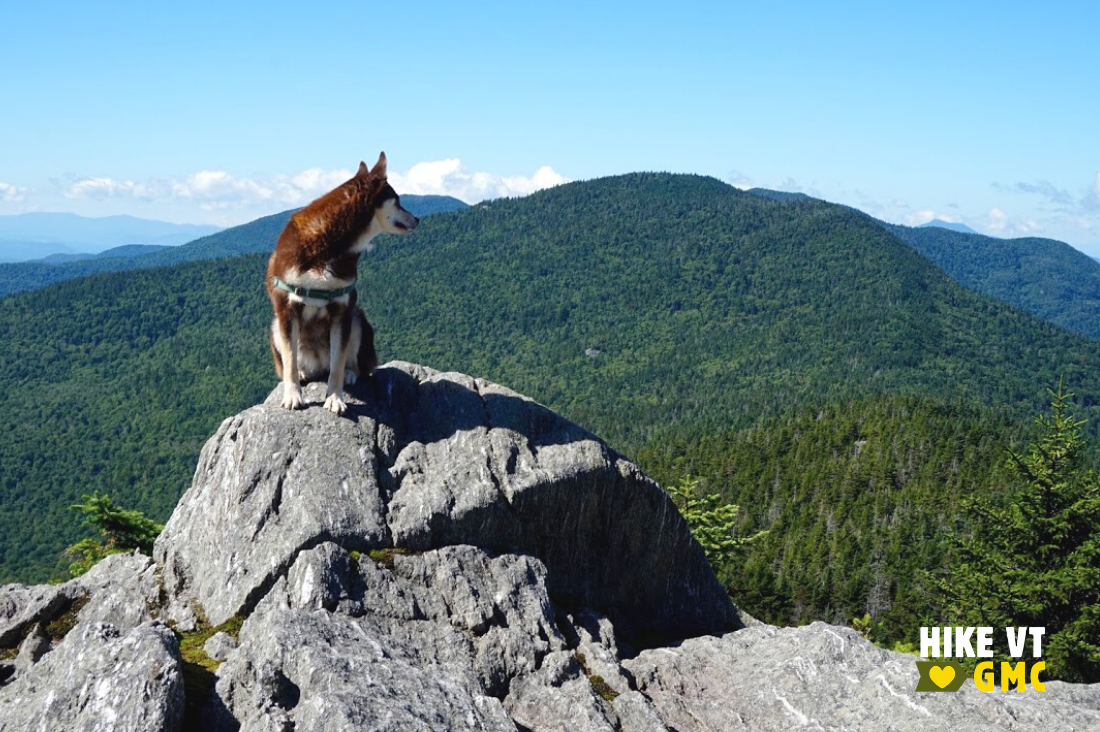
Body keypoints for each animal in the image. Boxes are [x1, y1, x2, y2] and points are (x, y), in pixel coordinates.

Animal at [266, 150, 420, 413]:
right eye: (397, 200)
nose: (418, 218)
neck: (330, 243)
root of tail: (318, 365)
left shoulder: (342, 309)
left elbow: (337, 365)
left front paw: (335, 398)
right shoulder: (287, 308)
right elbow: (289, 360)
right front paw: (293, 395)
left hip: (358, 319)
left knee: (352, 365)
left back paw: (350, 373)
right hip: (276, 325)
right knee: (295, 361)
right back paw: (304, 373)